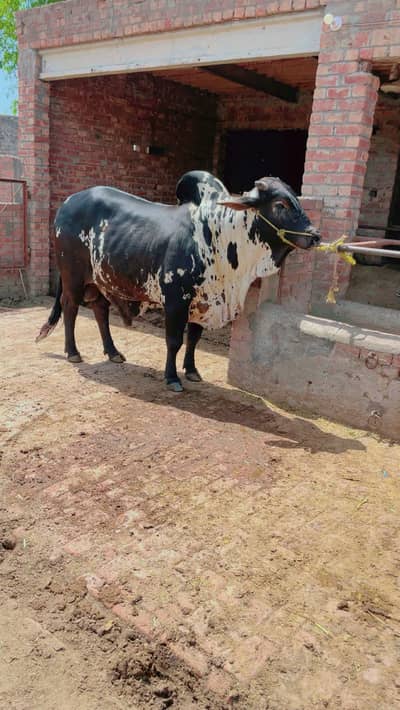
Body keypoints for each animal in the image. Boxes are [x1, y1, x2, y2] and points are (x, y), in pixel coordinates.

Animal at [36, 171, 320, 392]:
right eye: (280, 204)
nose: (315, 235)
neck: (221, 234)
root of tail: (68, 202)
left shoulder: (205, 299)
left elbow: (194, 338)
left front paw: (192, 371)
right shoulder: (175, 300)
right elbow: (174, 341)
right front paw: (172, 377)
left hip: (101, 279)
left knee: (100, 310)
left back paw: (113, 352)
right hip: (73, 277)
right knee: (70, 308)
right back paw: (73, 352)